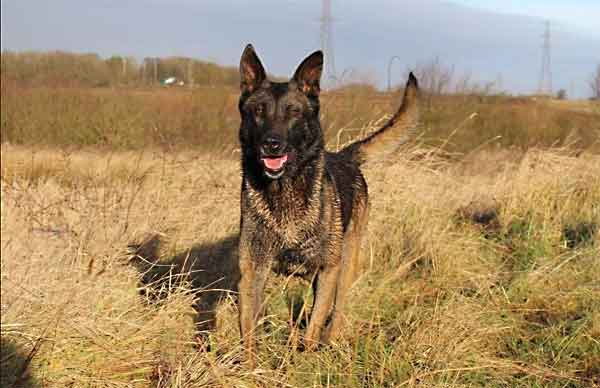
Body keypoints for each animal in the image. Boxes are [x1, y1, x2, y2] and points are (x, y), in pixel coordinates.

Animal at [237, 44, 420, 364]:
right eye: (258, 111)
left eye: (294, 112)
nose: (272, 144)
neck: (284, 193)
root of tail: (345, 155)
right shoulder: (252, 272)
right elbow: (249, 332)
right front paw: (249, 369)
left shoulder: (327, 270)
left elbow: (313, 327)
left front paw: (305, 362)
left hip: (345, 263)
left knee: (337, 310)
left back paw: (331, 341)